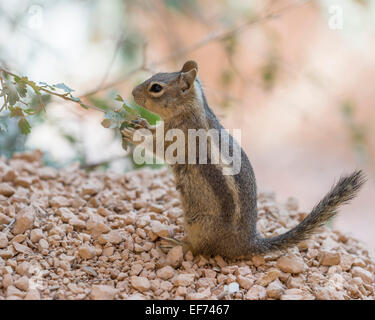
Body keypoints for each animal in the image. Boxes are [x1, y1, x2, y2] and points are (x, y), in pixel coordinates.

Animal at [122, 60, 368, 260]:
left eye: (156, 87)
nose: (132, 92)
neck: (191, 109)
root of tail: (247, 243)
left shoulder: (178, 139)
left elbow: (157, 146)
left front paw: (133, 134)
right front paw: (140, 123)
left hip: (199, 224)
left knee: (199, 249)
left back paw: (177, 244)